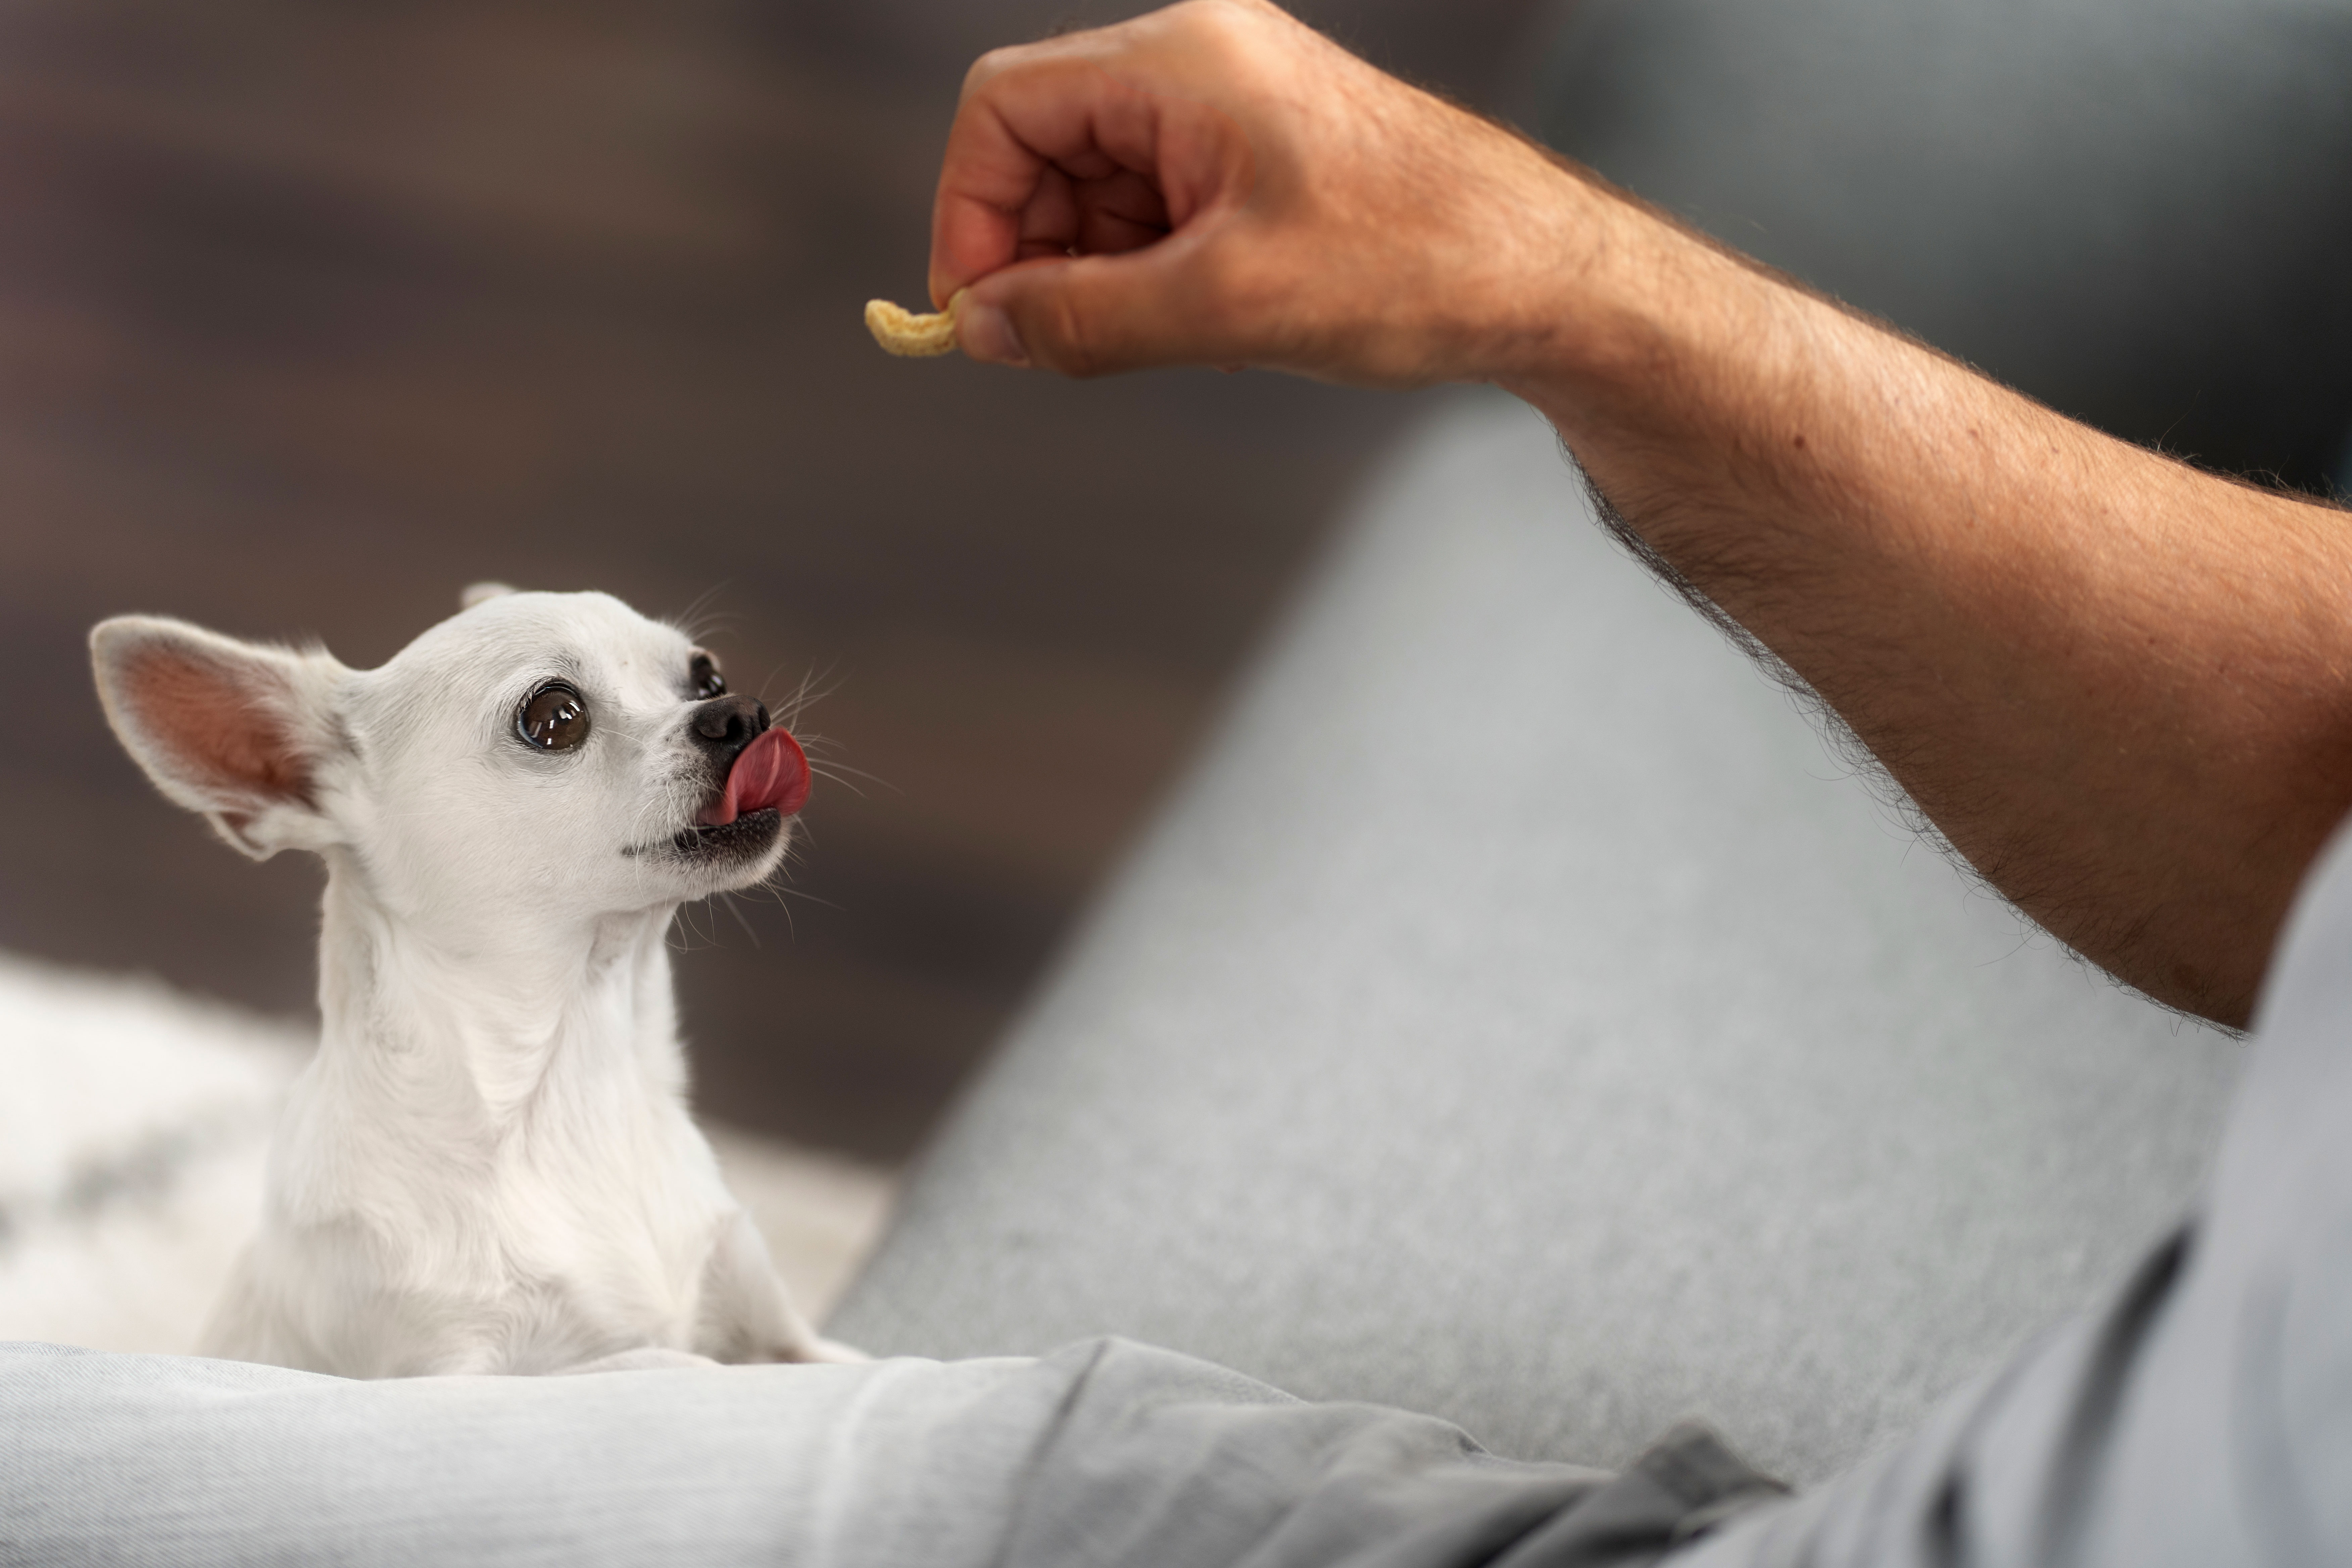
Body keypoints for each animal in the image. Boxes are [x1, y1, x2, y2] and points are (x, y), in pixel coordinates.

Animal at [96, 585, 865, 1373]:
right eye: (553, 718)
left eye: (707, 676)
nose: (742, 711)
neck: (574, 1087)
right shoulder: (452, 1371)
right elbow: (649, 1362)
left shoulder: (788, 1334)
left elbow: (862, 1363)